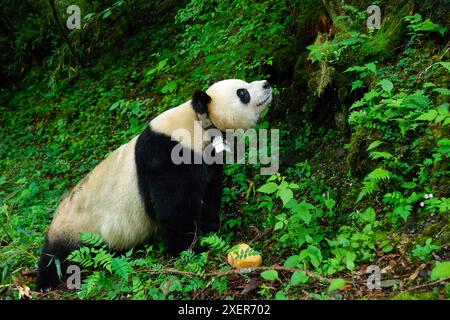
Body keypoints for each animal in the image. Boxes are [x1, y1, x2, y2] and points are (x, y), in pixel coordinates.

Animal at [37, 79, 270, 292]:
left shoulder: (208, 156)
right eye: (242, 92)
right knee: (56, 257)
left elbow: (210, 190)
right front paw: (189, 249)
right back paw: (46, 283)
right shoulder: (167, 156)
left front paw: (212, 227)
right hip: (75, 228)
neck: (198, 121)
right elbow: (175, 209)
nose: (267, 84)